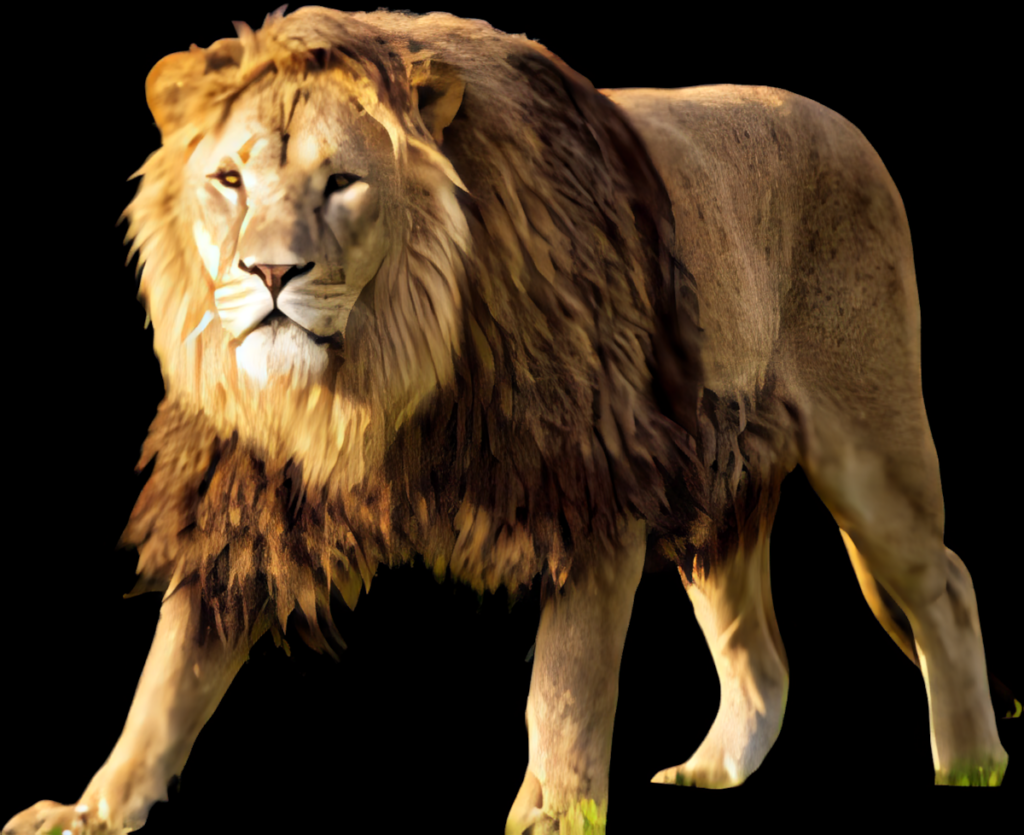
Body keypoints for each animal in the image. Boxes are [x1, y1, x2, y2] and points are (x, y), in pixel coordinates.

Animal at [3, 5, 1013, 835]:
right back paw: (714, 770)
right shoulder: (243, 494)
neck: (372, 374)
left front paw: (554, 815)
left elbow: (563, 686)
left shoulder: (593, 480)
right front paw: (92, 809)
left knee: (945, 585)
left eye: (342, 183)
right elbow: (167, 678)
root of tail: (842, 123)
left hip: (870, 443)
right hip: (717, 472)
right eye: (228, 179)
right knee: (757, 651)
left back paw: (968, 765)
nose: (272, 273)